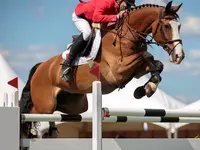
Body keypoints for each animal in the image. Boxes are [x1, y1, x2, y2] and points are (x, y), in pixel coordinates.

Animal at [20, 1, 184, 139]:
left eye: (179, 26)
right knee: (31, 112)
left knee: (54, 111)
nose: (179, 56)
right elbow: (146, 55)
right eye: (167, 26)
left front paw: (146, 89)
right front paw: (144, 89)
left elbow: (156, 64)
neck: (126, 37)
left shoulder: (136, 70)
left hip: (75, 104)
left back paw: (51, 131)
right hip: (45, 103)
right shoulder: (117, 71)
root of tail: (41, 67)